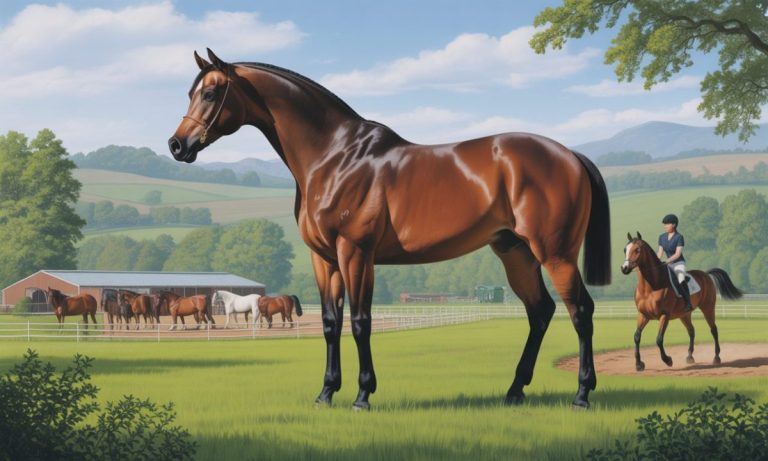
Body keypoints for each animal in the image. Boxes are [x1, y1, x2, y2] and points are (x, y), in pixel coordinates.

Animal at [169, 49, 612, 410]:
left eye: (210, 94)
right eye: (191, 93)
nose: (177, 145)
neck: (335, 157)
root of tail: (570, 155)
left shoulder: (356, 252)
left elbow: (360, 321)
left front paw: (363, 395)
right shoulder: (324, 258)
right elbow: (330, 323)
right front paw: (326, 393)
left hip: (554, 253)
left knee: (580, 311)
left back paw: (581, 394)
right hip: (515, 252)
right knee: (541, 311)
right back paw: (515, 391)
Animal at [621, 232, 743, 370]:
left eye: (637, 250)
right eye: (625, 249)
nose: (624, 268)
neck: (651, 287)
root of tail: (706, 274)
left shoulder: (664, 315)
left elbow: (659, 339)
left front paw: (668, 360)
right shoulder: (643, 315)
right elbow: (637, 336)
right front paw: (639, 364)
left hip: (708, 308)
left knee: (713, 330)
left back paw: (716, 357)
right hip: (684, 315)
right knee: (691, 331)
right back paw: (690, 356)